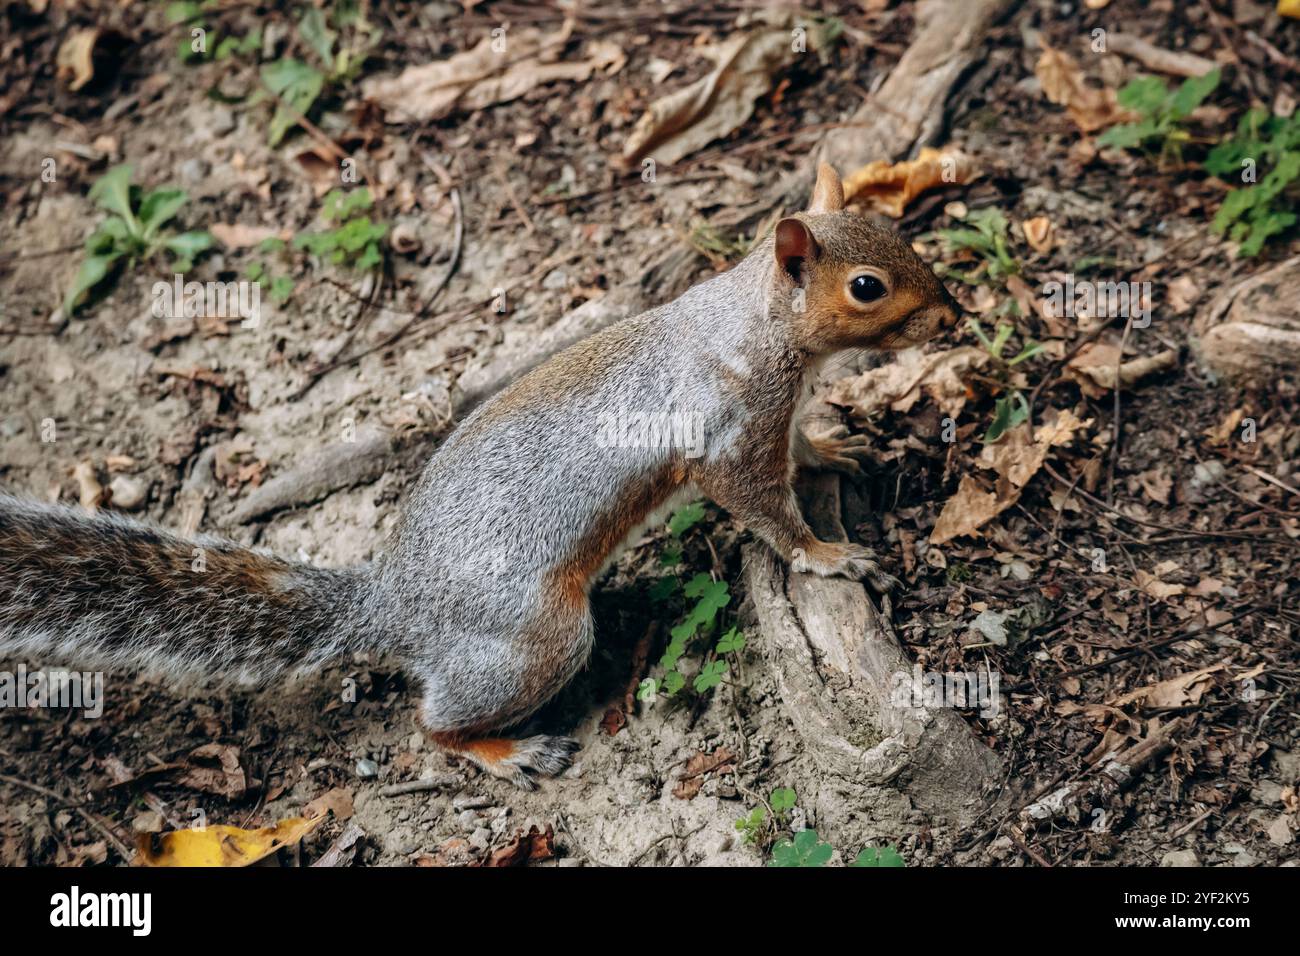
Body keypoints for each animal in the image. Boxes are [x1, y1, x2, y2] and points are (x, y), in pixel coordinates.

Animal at [0, 164, 956, 790]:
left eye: (901, 233)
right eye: (867, 286)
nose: (953, 316)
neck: (756, 326)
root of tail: (394, 603)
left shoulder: (771, 417)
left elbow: (798, 452)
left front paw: (833, 450)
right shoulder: (727, 433)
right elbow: (762, 505)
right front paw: (827, 555)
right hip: (536, 641)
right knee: (435, 723)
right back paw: (506, 752)